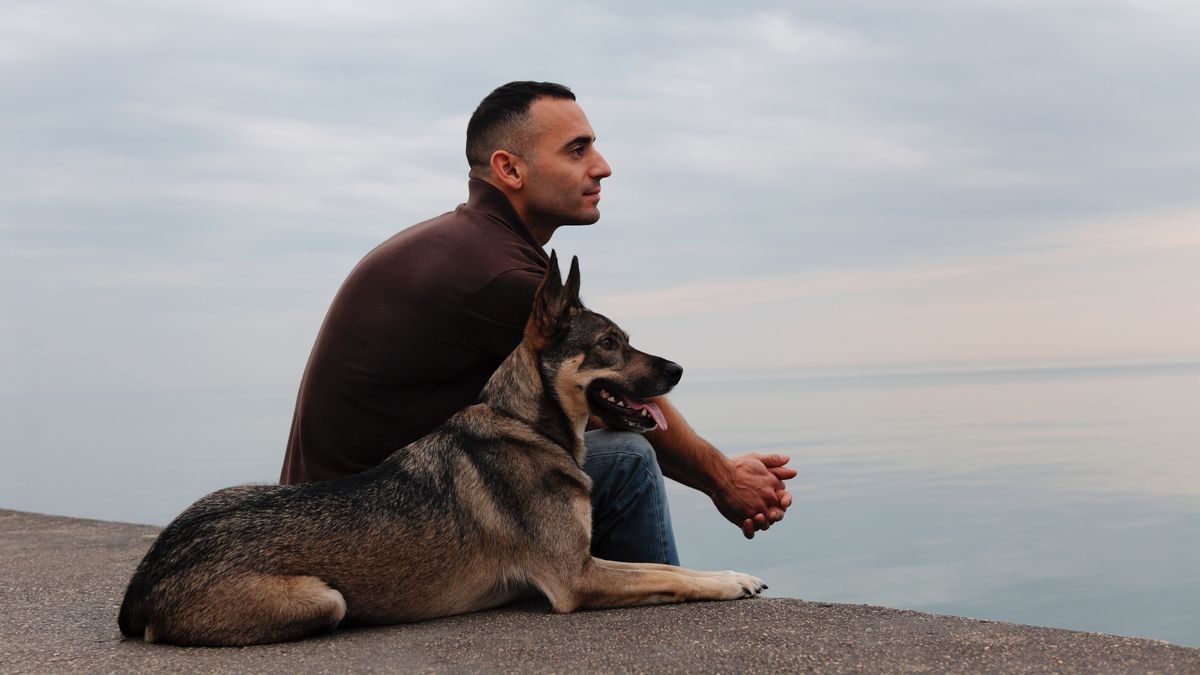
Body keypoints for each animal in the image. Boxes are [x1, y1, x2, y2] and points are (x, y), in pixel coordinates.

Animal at [117, 253, 763, 648]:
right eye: (609, 343)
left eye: (625, 339)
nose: (678, 371)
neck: (525, 423)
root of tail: (141, 586)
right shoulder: (576, 578)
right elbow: (673, 577)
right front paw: (729, 583)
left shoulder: (585, 565)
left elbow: (669, 567)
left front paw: (733, 574)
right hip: (324, 599)